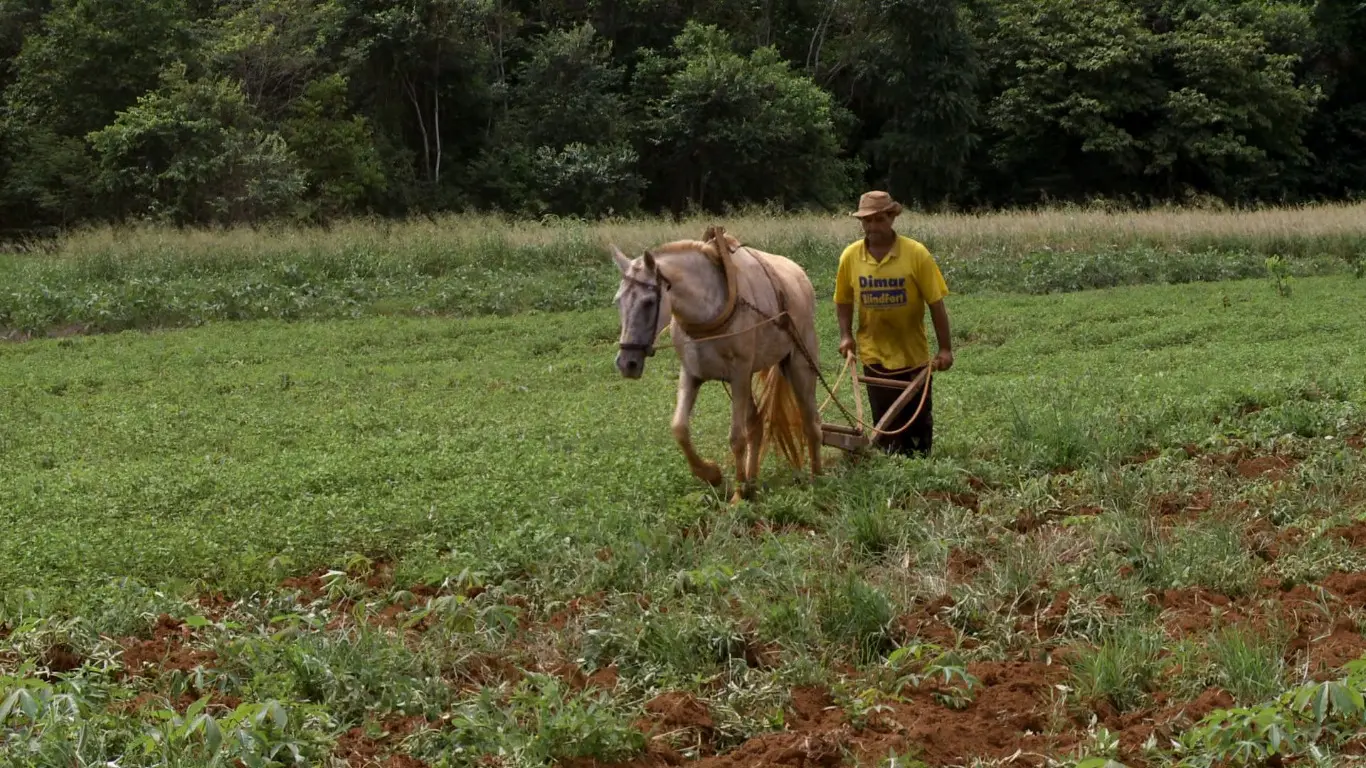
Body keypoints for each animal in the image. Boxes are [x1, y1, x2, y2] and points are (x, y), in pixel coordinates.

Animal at [609, 225, 819, 502]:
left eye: (649, 302)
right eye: (618, 301)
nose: (627, 363)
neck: (707, 310)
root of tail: (800, 275)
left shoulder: (739, 373)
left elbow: (736, 437)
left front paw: (737, 494)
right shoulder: (692, 374)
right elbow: (679, 428)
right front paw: (712, 474)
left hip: (799, 365)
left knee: (810, 421)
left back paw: (817, 477)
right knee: (756, 424)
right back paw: (752, 483)